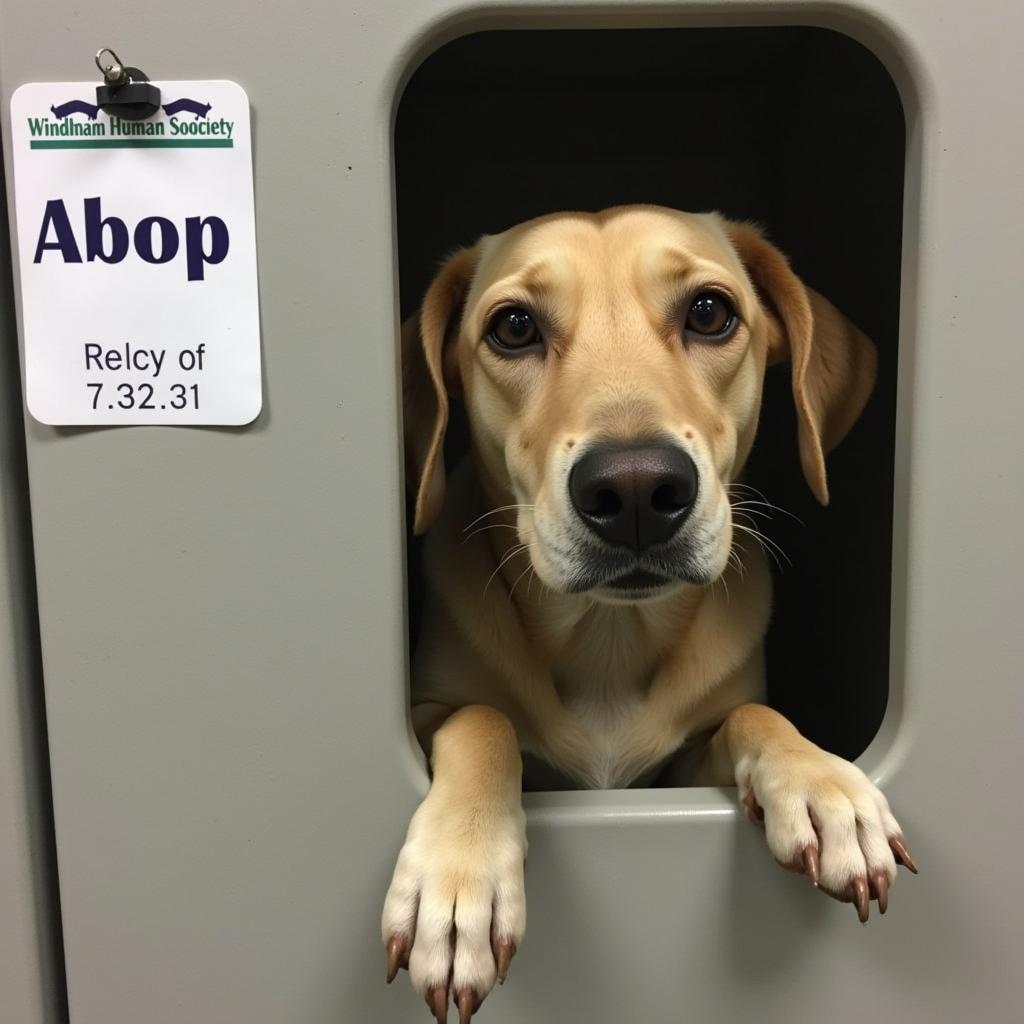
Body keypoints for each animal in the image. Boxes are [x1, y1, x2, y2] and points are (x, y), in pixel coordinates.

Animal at [380, 203, 917, 1019]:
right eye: (513, 327)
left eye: (710, 312)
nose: (635, 489)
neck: (608, 639)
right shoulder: (428, 711)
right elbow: (484, 720)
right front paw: (458, 879)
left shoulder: (684, 767)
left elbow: (753, 716)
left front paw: (823, 785)